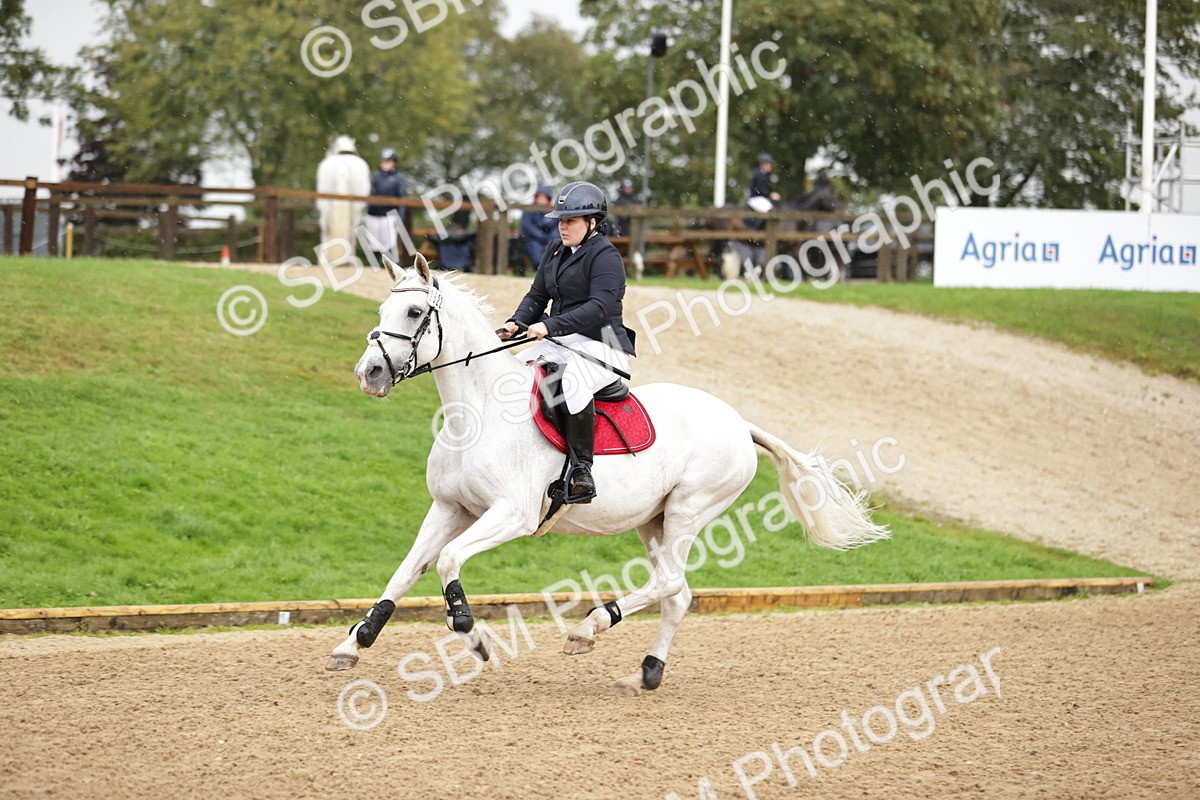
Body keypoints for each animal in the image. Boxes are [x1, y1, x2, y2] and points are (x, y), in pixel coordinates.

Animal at [326, 253, 890, 694]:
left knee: (670, 581)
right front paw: (354, 642)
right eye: (382, 310)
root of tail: (738, 421)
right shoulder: (450, 508)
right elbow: (407, 571)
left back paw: (589, 628)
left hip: (689, 508)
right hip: (654, 521)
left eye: (414, 311)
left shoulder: (511, 514)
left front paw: (472, 632)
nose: (368, 374)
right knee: (676, 593)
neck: (478, 411)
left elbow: (446, 562)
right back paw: (646, 672)